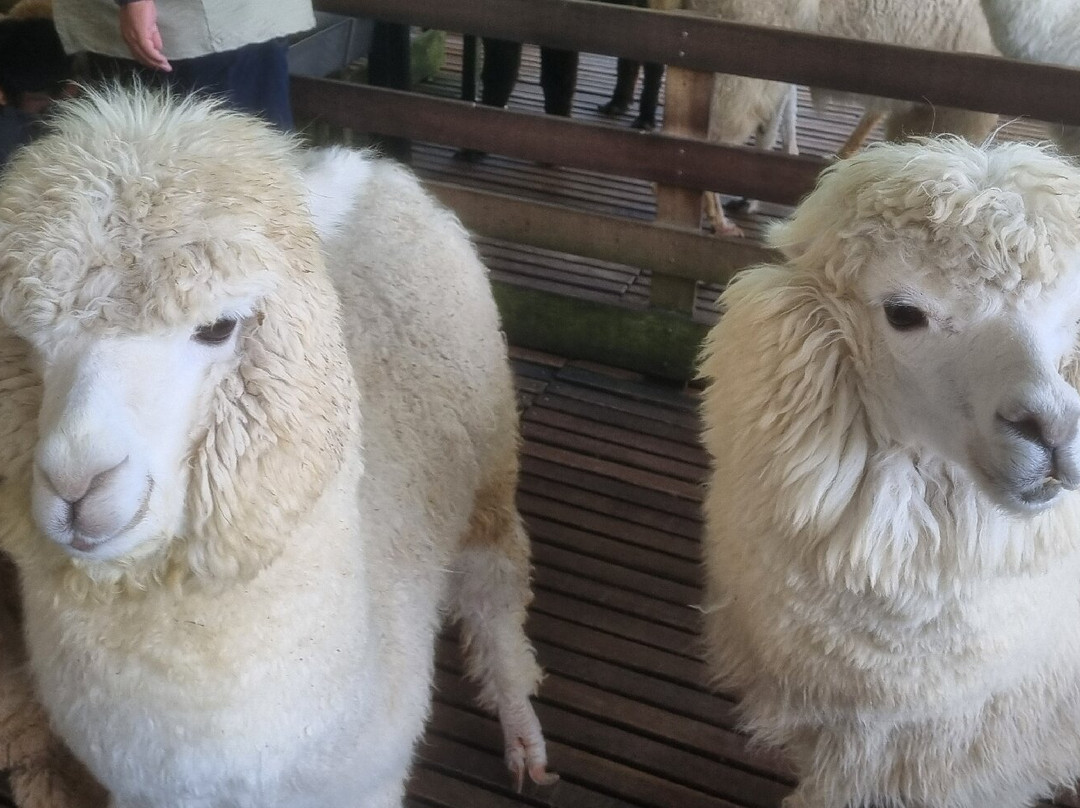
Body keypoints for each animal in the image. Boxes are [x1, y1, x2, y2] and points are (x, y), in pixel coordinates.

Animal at [0, 86, 555, 808]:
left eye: (218, 327)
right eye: (24, 338)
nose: (75, 482)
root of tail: (361, 165)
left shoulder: (366, 782)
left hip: (488, 464)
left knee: (496, 591)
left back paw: (521, 728)